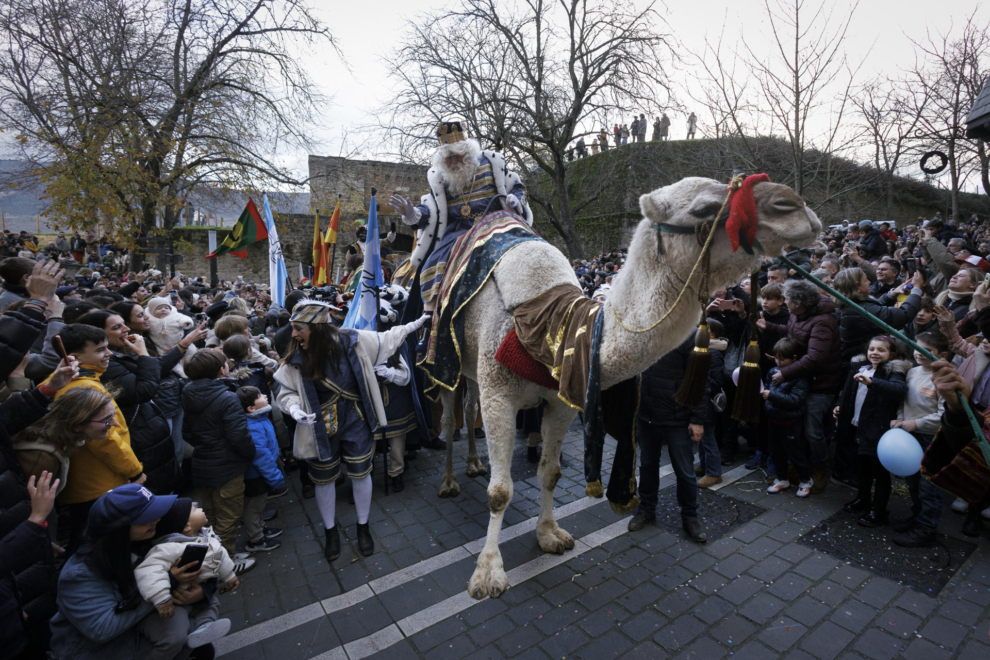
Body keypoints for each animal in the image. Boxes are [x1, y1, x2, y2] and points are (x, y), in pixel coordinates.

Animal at [434, 175, 820, 600]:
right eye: (703, 208)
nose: (795, 206)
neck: (553, 327)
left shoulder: (562, 399)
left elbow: (550, 472)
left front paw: (550, 535)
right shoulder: (499, 393)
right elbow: (500, 491)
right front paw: (488, 574)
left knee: (469, 409)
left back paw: (474, 463)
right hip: (447, 359)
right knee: (451, 414)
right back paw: (450, 481)